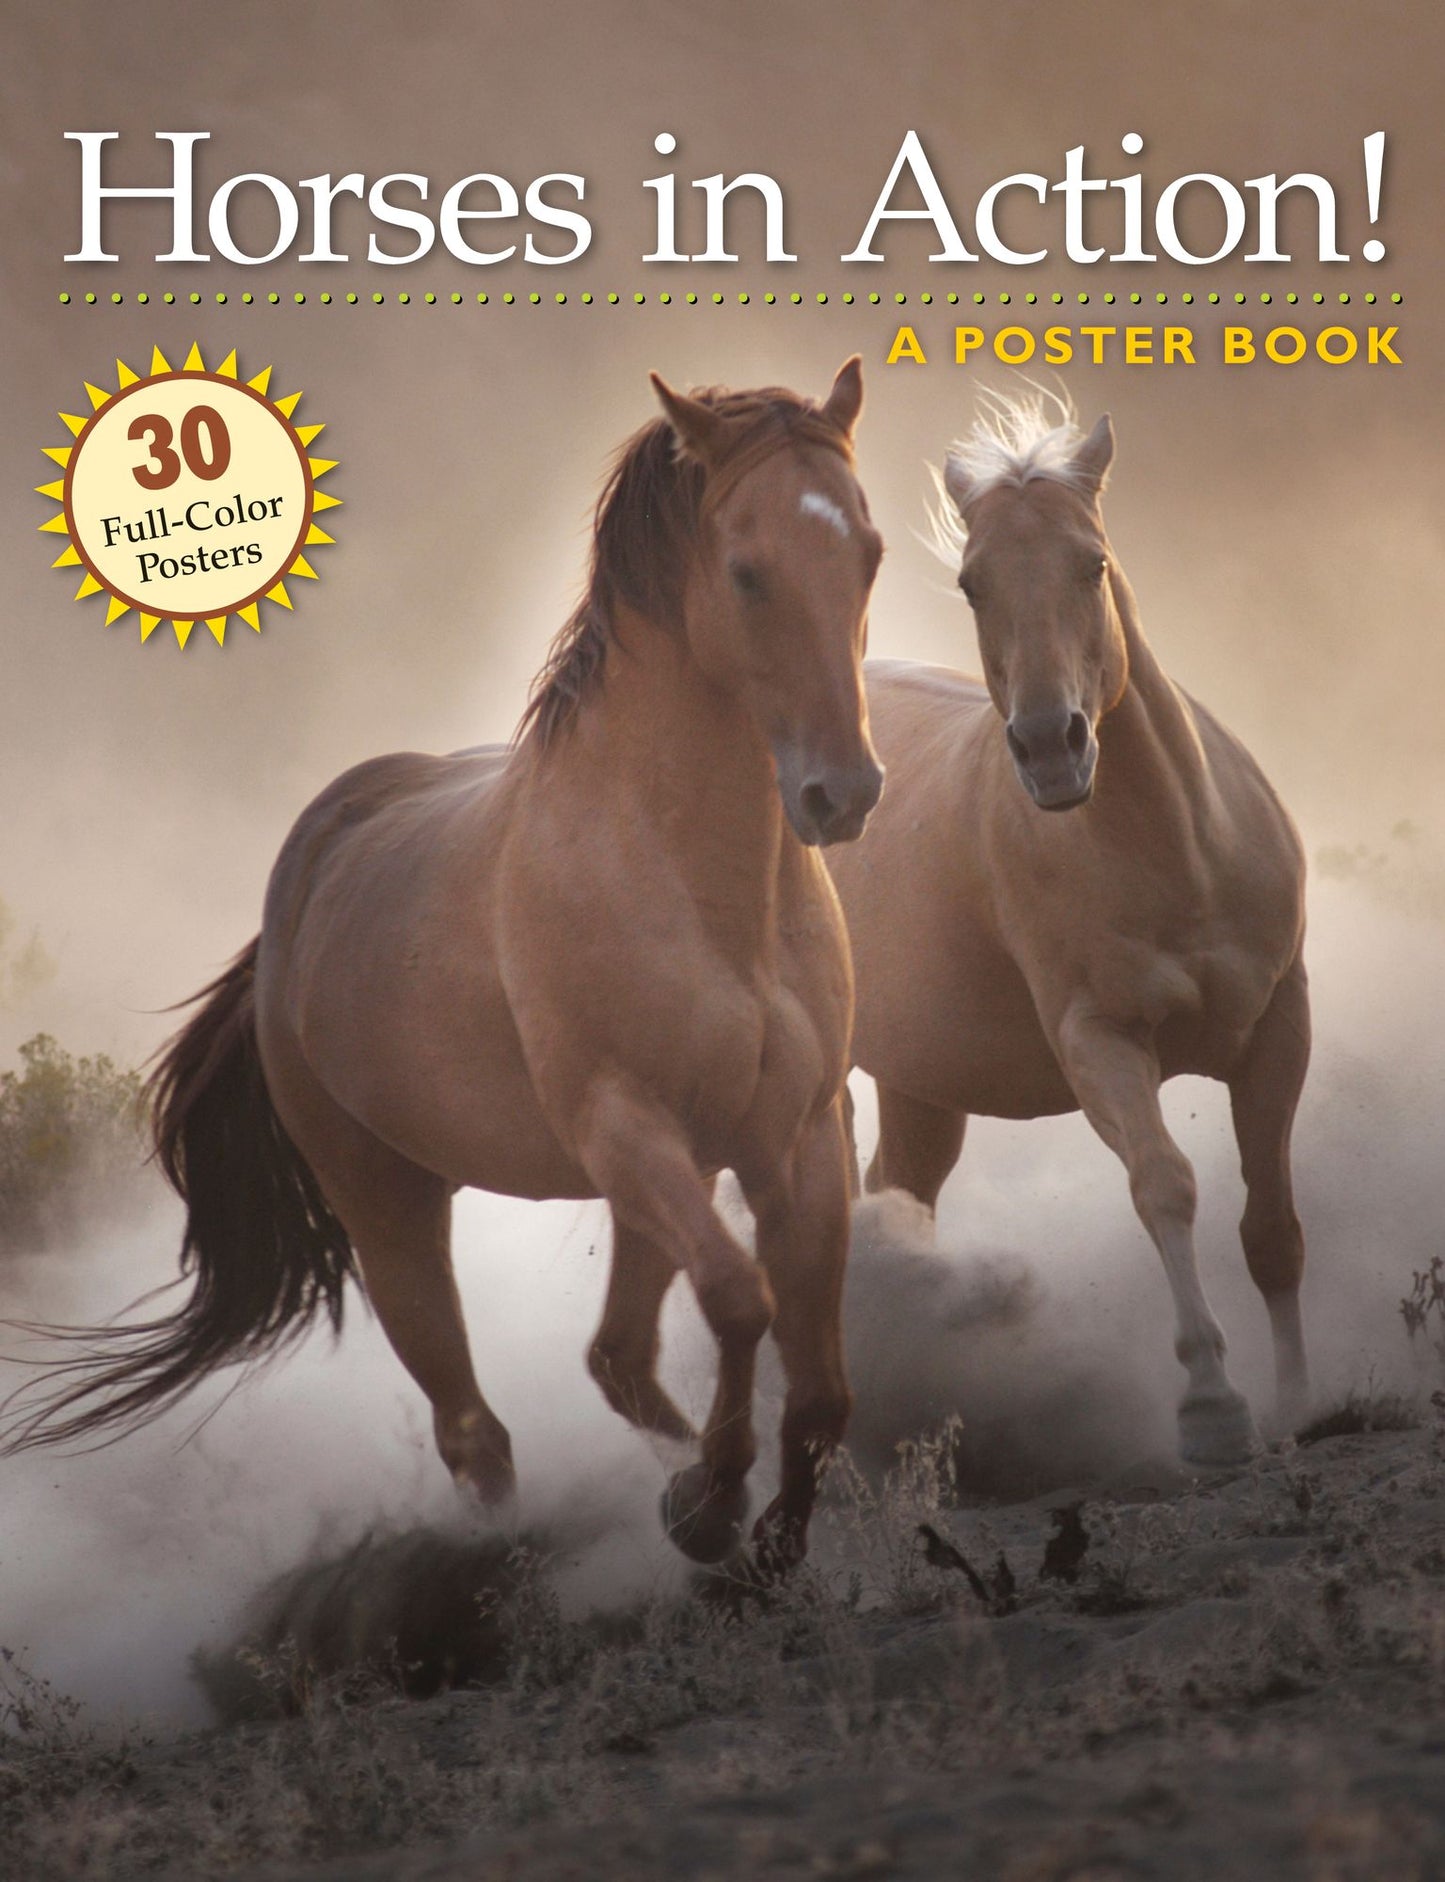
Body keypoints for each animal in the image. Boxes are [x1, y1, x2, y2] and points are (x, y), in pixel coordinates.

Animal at [8, 360, 886, 1569]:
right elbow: (740, 1299)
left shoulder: (794, 1137)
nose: (840, 793)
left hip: (643, 1186)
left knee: (614, 1358)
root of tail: (301, 888)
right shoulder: (623, 1126)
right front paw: (709, 1509)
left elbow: (820, 1389)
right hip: (393, 1202)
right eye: (747, 570)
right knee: (475, 1429)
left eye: (869, 552)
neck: (703, 893)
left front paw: (770, 1539)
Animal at [826, 395, 1310, 1466]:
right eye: (971, 583)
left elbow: (1269, 1225)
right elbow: (1163, 1184)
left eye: (1090, 562)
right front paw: (1211, 1407)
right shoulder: (1100, 1042)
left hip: (921, 1086)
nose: (1051, 748)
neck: (1176, 853)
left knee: (894, 1198)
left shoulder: (1276, 1028)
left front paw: (1300, 1408)